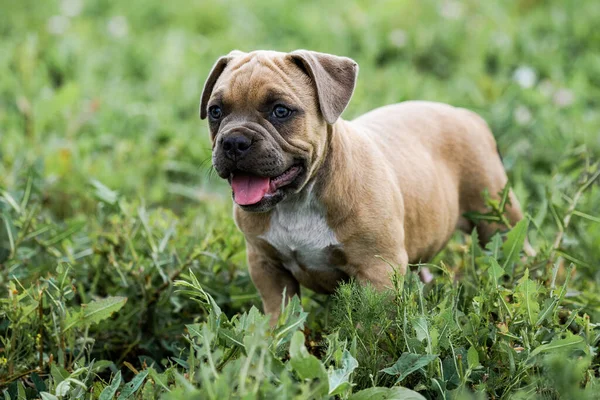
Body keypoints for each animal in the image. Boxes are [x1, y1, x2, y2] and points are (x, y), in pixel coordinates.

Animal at [200, 50, 524, 324]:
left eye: (280, 111)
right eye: (215, 111)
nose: (234, 141)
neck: (298, 200)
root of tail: (465, 114)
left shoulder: (377, 270)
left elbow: (373, 325)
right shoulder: (267, 266)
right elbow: (280, 316)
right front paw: (273, 348)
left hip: (497, 216)